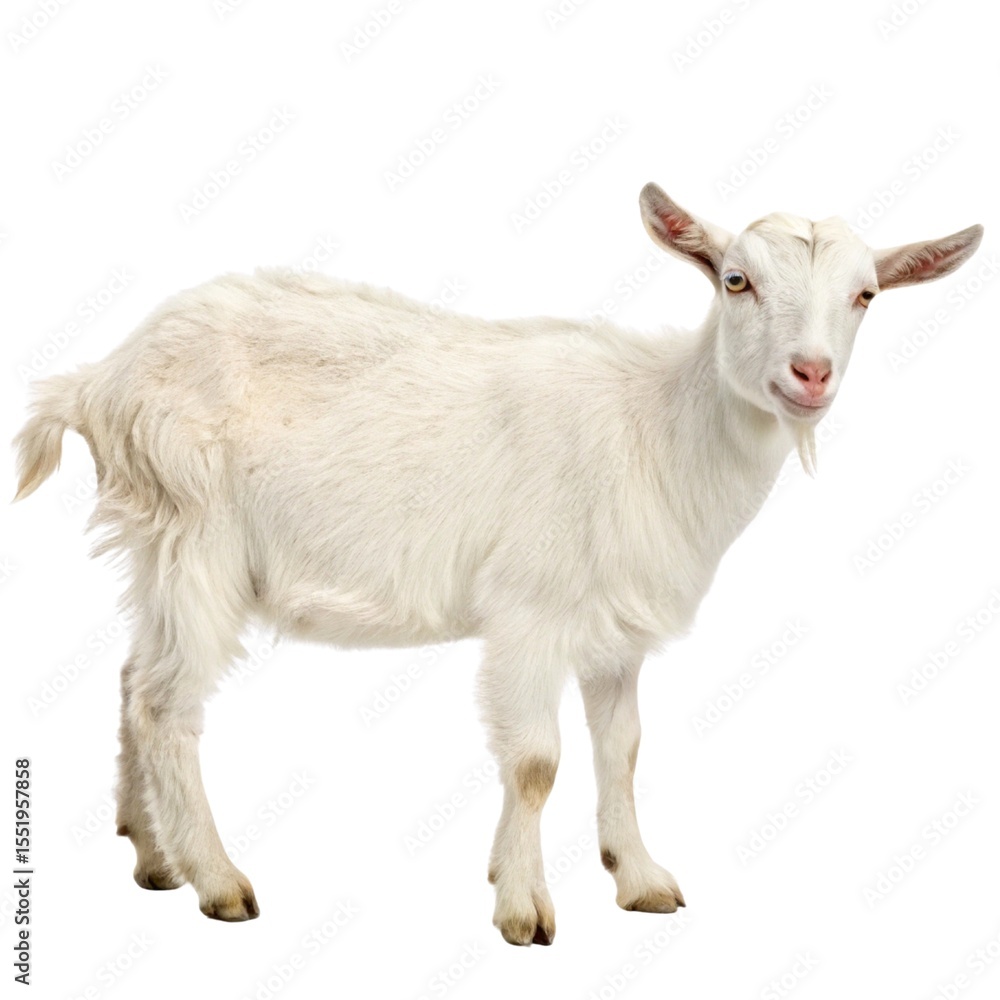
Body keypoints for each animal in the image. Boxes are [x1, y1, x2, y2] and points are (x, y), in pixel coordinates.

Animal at [13, 184, 983, 946]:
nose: (809, 374)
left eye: (865, 295)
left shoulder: (616, 633)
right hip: (198, 535)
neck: (657, 429)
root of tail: (101, 382)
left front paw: (639, 879)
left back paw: (152, 854)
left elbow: (623, 749)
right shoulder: (530, 611)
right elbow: (535, 763)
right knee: (167, 701)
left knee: (133, 677)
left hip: (159, 546)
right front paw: (524, 909)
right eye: (737, 281)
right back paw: (218, 880)